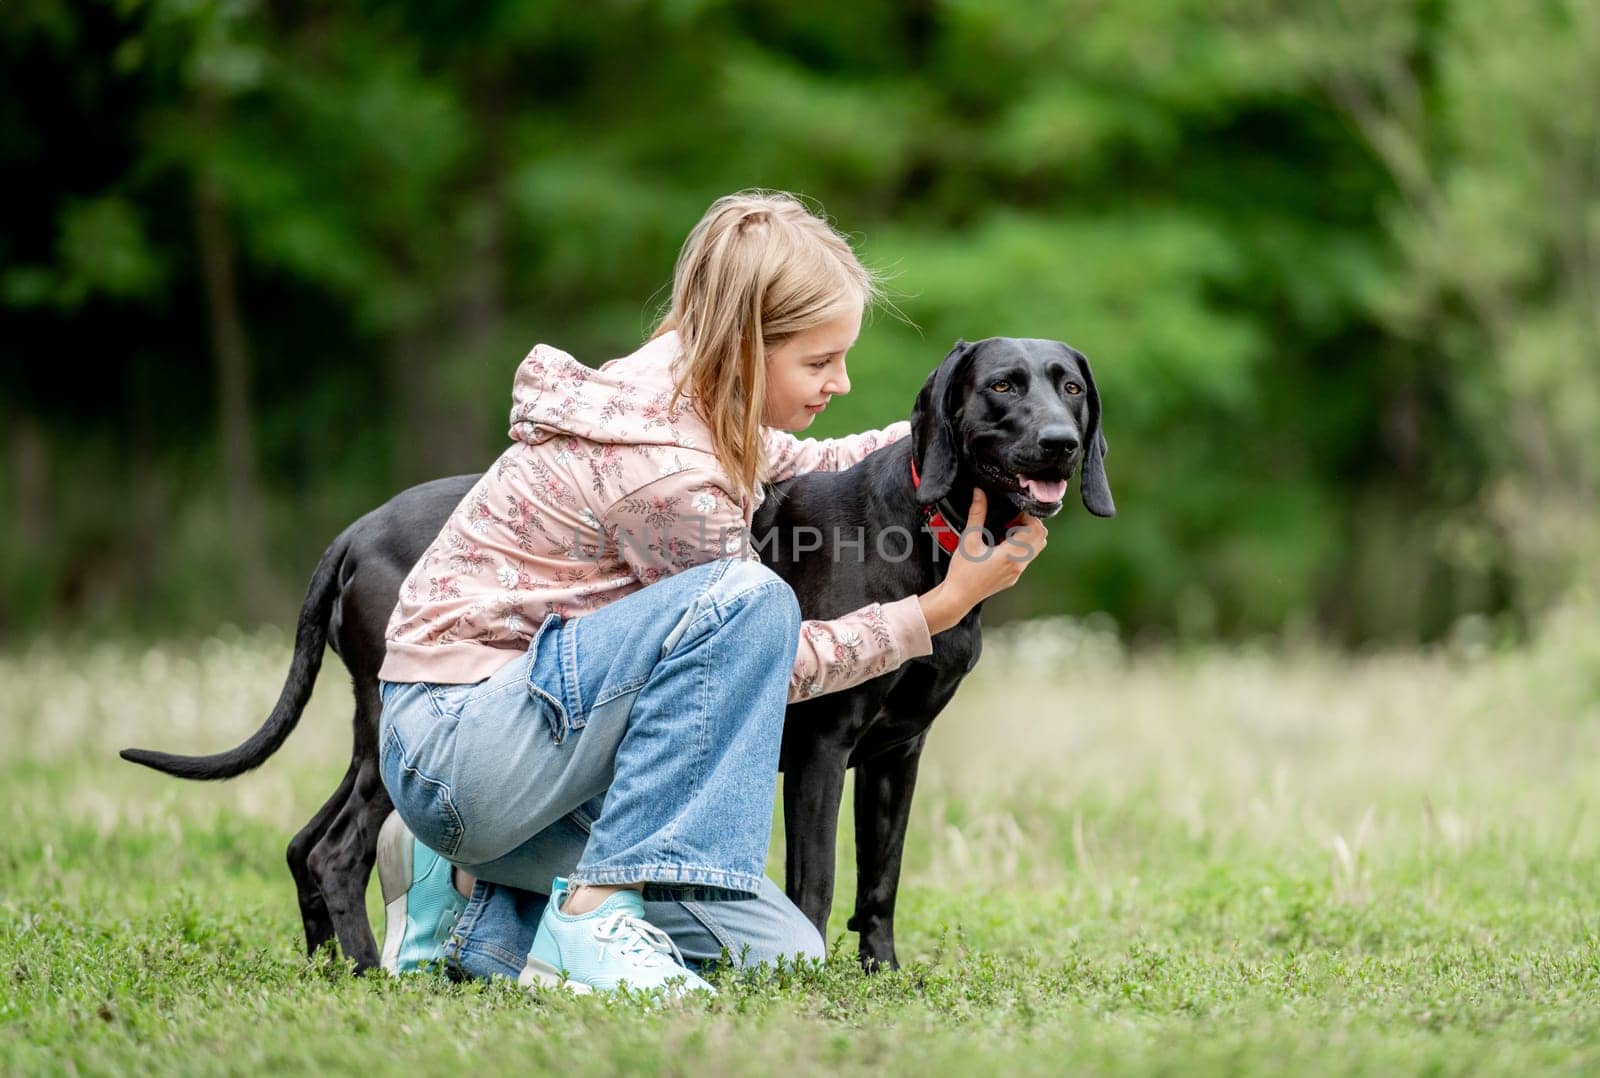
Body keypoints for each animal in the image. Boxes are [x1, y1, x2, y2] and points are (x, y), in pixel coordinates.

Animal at [124, 334, 1113, 966]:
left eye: (1070, 387)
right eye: (1001, 386)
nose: (1062, 445)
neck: (926, 528)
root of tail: (355, 532)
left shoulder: (897, 753)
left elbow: (881, 882)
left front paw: (882, 974)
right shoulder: (824, 748)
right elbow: (817, 883)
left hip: (371, 737)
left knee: (304, 842)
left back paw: (330, 966)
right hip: (396, 738)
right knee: (336, 850)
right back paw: (369, 971)